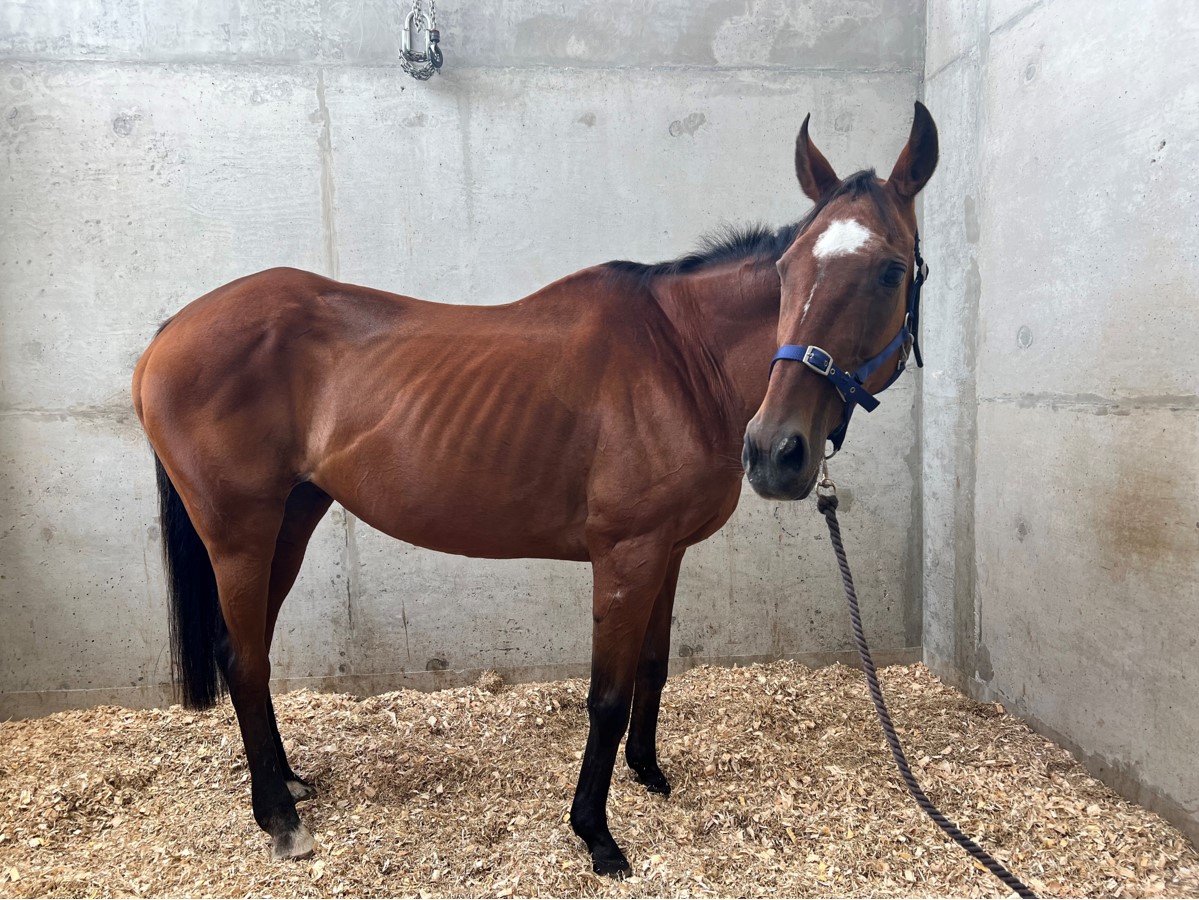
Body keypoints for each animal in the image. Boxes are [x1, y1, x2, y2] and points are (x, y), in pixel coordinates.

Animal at [132, 102, 938, 877]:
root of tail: (171, 332)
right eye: (789, 269)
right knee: (246, 660)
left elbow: (652, 667)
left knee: (251, 651)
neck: (683, 359)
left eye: (890, 270)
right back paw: (279, 818)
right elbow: (607, 697)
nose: (776, 452)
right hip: (240, 532)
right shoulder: (627, 555)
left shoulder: (667, 552)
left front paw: (649, 774)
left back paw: (289, 785)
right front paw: (597, 836)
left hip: (292, 520)